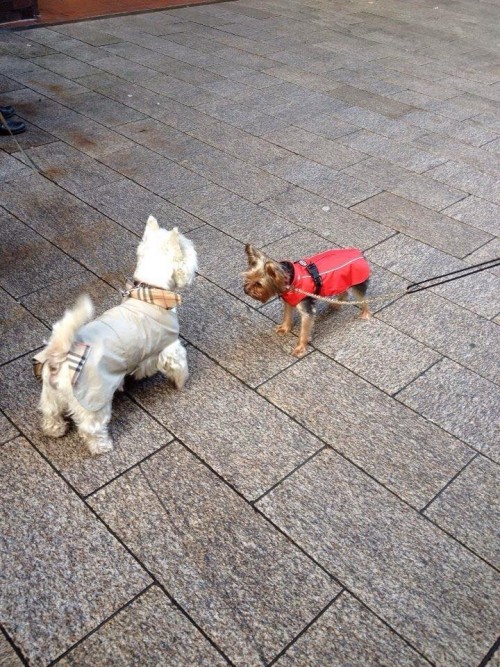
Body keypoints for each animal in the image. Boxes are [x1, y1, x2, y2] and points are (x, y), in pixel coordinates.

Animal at [34, 217, 197, 456]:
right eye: (190, 250)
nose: (197, 267)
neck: (150, 293)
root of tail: (60, 356)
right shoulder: (170, 348)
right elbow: (179, 365)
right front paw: (182, 382)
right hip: (93, 400)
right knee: (91, 427)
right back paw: (102, 446)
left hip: (49, 393)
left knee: (50, 412)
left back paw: (55, 430)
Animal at [243, 244, 372, 358]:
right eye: (247, 278)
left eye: (258, 284)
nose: (245, 290)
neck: (290, 280)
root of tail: (358, 253)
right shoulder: (289, 299)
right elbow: (287, 315)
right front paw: (284, 329)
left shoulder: (306, 309)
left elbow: (304, 329)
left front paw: (300, 348)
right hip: (339, 281)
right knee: (344, 293)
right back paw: (336, 305)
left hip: (357, 282)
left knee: (363, 298)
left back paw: (365, 314)